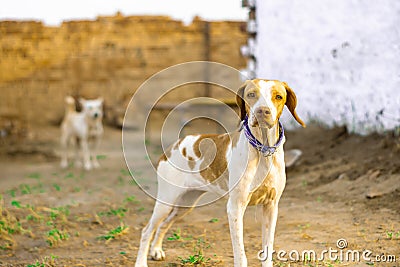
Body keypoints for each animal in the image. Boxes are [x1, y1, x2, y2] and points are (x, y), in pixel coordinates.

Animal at [133, 78, 304, 266]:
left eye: (278, 96)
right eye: (251, 94)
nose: (262, 111)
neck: (262, 150)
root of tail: (173, 147)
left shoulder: (271, 207)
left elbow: (267, 250)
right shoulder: (235, 208)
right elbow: (240, 255)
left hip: (186, 204)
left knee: (164, 225)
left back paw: (156, 250)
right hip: (166, 200)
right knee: (147, 230)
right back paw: (141, 262)